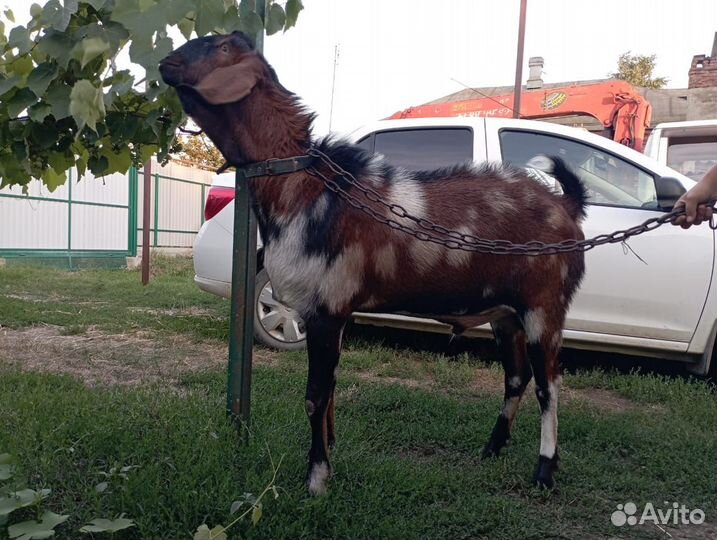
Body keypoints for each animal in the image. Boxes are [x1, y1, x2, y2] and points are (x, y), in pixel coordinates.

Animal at [161, 31, 588, 496]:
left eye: (220, 46)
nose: (165, 63)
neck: (305, 186)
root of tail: (566, 206)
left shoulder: (326, 307)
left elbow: (314, 396)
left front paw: (316, 480)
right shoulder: (333, 311)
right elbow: (330, 390)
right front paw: (329, 455)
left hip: (545, 307)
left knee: (549, 386)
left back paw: (544, 470)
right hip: (506, 314)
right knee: (516, 377)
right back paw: (492, 448)